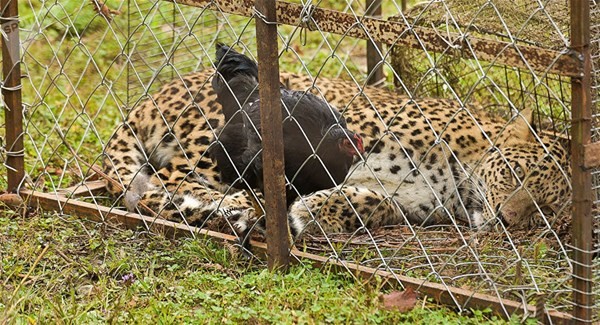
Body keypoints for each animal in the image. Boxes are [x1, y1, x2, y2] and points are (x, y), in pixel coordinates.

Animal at [103, 67, 572, 240]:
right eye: (513, 173)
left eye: (545, 210)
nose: (507, 220)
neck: (458, 179)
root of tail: (152, 97)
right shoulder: (359, 121)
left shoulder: (413, 204)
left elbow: (370, 202)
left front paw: (312, 212)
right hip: (212, 133)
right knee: (163, 185)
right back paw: (235, 205)